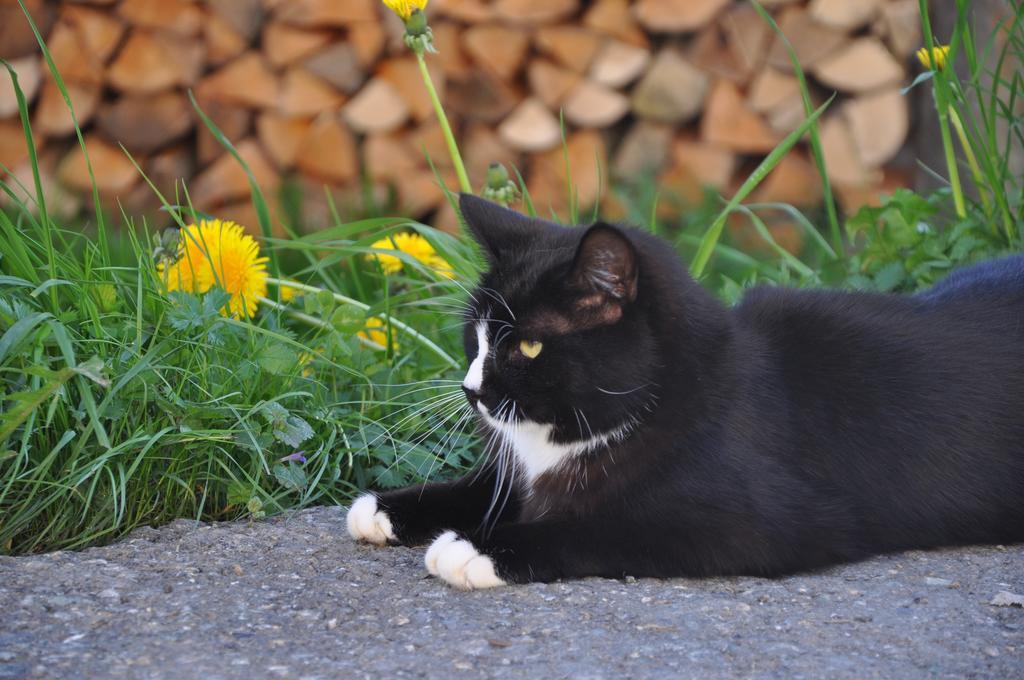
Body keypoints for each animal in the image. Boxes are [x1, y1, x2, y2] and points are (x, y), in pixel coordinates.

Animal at [348, 193, 1024, 585]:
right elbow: (487, 486)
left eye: (527, 347)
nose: (471, 390)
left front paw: (476, 549)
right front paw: (387, 507)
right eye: (477, 335)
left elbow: (606, 527)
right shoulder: (525, 471)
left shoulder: (763, 521)